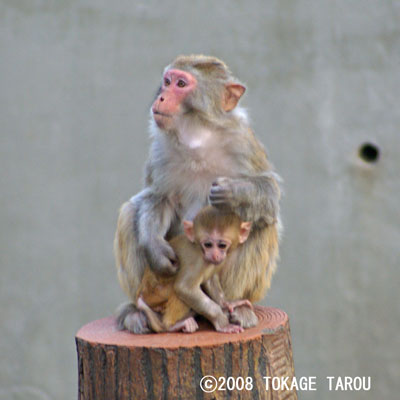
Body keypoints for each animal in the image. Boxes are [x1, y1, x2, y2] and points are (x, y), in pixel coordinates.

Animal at [114, 54, 280, 332]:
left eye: (181, 84)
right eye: (167, 81)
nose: (162, 97)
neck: (198, 137)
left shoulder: (243, 143)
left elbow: (269, 193)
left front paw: (234, 192)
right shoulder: (161, 149)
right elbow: (158, 197)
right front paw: (155, 248)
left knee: (261, 223)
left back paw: (238, 307)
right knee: (129, 213)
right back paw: (138, 312)